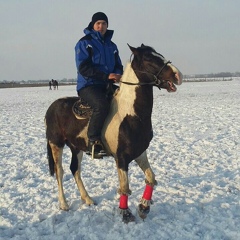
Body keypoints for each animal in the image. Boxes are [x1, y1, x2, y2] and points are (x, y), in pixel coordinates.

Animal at [45, 43, 183, 223]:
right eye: (149, 59)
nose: (178, 75)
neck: (130, 114)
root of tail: (52, 106)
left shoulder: (140, 153)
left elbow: (151, 178)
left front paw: (144, 207)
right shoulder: (121, 158)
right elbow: (124, 186)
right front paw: (126, 213)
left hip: (76, 147)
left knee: (75, 169)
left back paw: (87, 199)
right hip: (56, 144)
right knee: (60, 171)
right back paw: (64, 204)